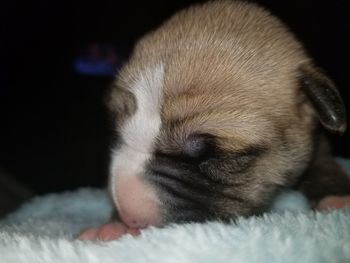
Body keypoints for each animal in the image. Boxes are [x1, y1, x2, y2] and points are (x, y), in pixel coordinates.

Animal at [78, 0, 350, 242]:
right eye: (119, 134)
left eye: (212, 154)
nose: (128, 215)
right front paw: (114, 226)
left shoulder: (317, 144)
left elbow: (324, 166)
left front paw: (337, 198)